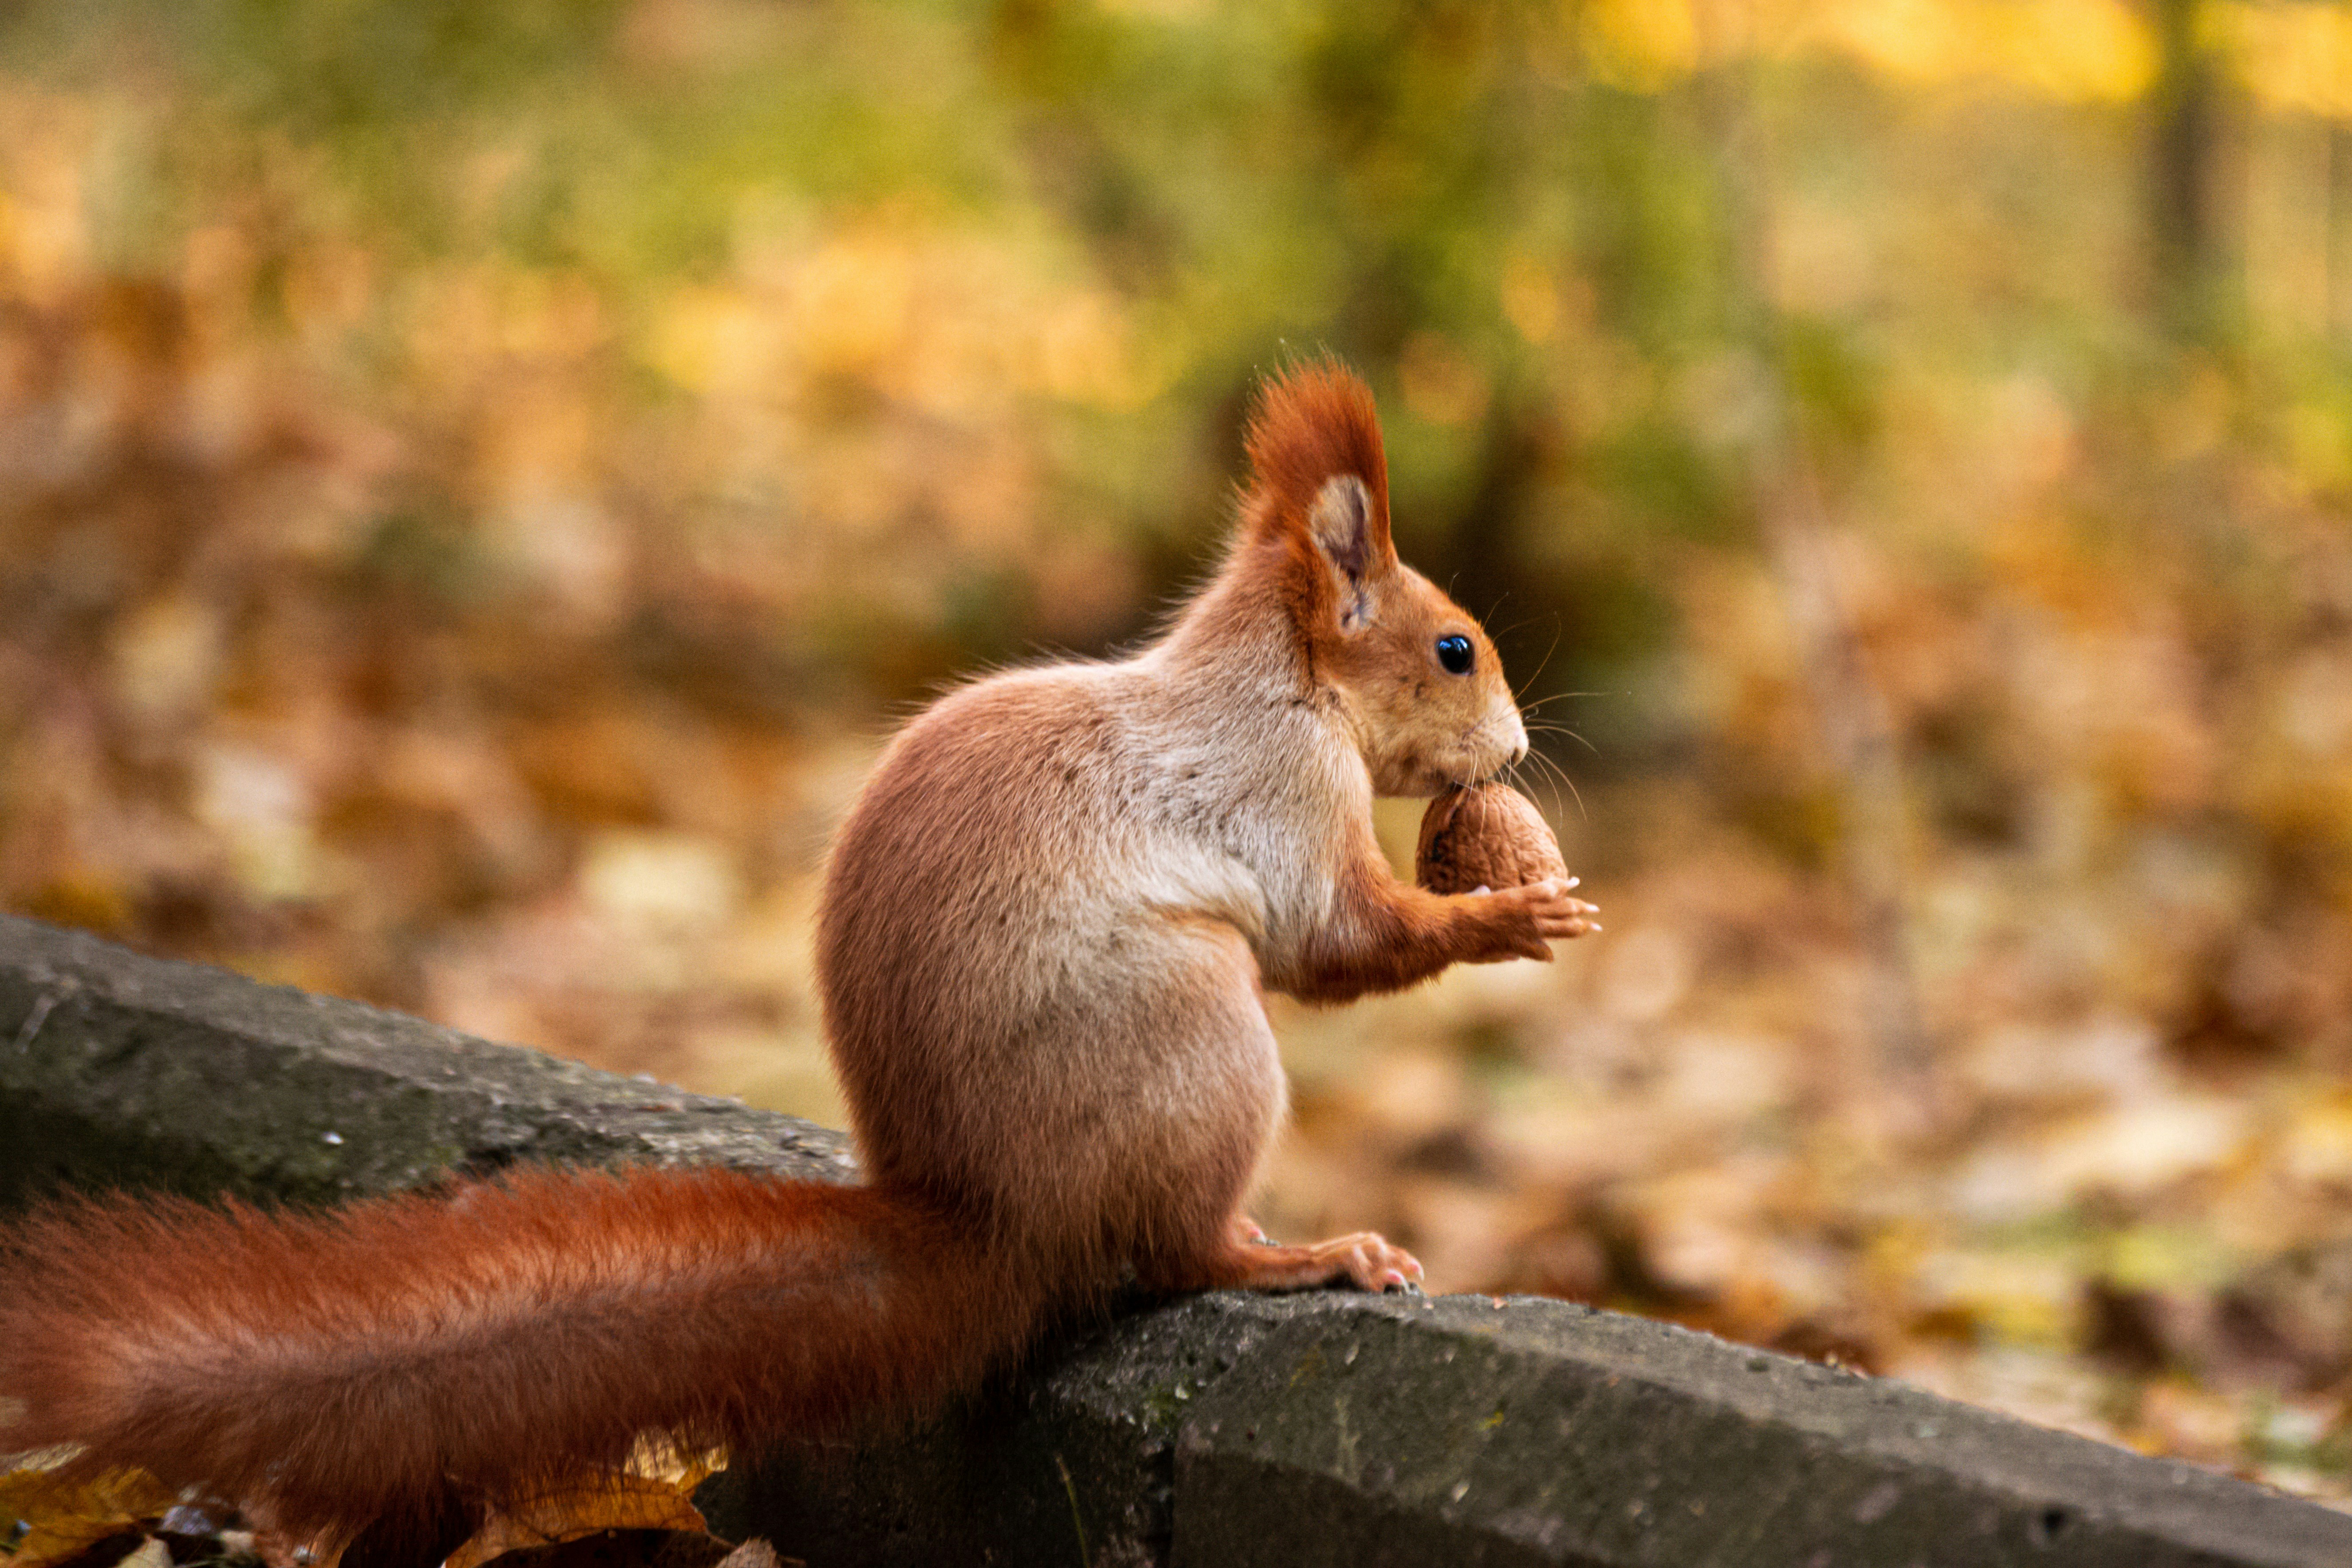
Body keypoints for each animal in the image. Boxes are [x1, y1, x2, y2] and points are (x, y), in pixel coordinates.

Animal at [0, 360, 1597, 1552]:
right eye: (1454, 649)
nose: (1518, 746)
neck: (1278, 677)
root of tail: (985, 1221)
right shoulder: (1279, 796)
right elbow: (1335, 943)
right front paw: (1513, 918)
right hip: (1192, 1043)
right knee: (1170, 1252)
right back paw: (1301, 1254)